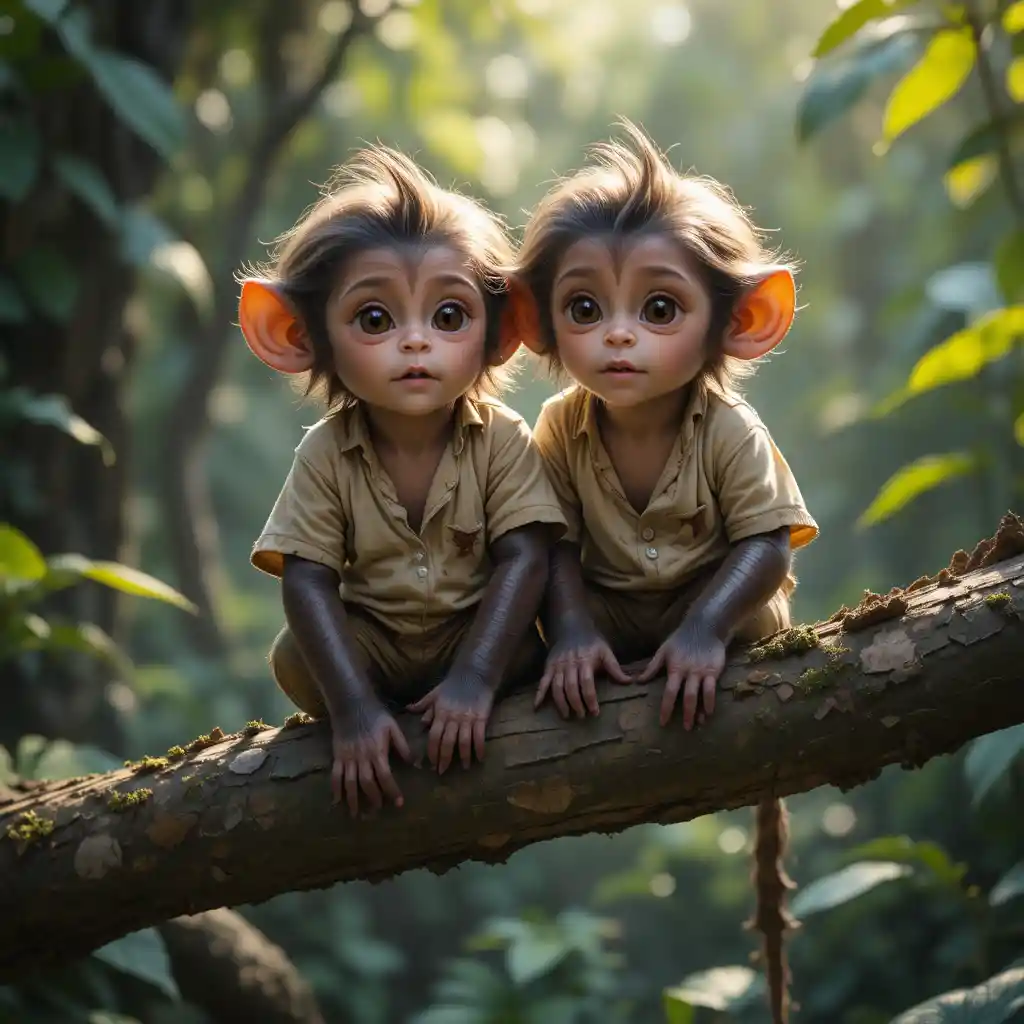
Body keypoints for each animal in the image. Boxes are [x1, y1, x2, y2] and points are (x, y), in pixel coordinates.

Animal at [238, 145, 567, 817]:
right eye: (373, 319)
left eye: (450, 316)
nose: (415, 345)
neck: (414, 431)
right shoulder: (313, 459)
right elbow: (307, 582)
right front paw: (362, 730)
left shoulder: (510, 439)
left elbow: (522, 554)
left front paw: (463, 703)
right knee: (293, 652)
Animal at [515, 119, 819, 1024]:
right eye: (583, 307)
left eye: (661, 308)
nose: (618, 342)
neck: (645, 418)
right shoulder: (557, 427)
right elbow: (555, 551)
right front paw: (576, 657)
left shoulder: (736, 431)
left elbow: (764, 543)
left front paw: (692, 651)